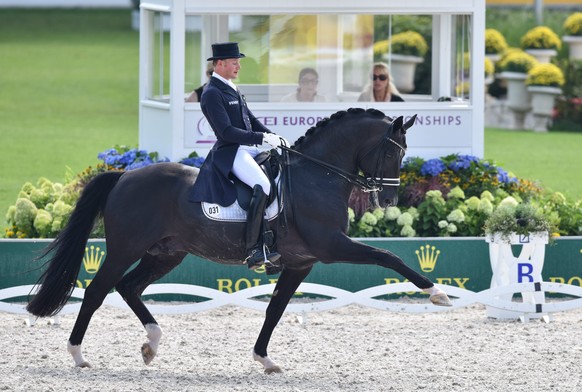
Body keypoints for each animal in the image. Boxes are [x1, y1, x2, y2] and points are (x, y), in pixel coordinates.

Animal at [27, 107, 454, 374]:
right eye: (391, 151)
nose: (389, 201)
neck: (317, 177)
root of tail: (124, 175)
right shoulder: (332, 247)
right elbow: (388, 256)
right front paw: (437, 293)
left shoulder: (301, 263)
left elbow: (275, 311)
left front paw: (265, 360)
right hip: (125, 248)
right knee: (97, 291)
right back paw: (78, 355)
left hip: (167, 253)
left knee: (128, 287)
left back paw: (151, 344)